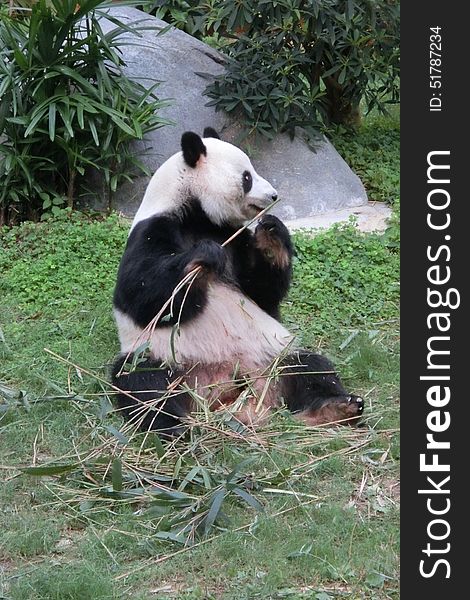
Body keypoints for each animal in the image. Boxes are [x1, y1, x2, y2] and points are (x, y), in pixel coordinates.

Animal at [111, 127, 364, 436]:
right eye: (247, 177)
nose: (273, 195)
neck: (197, 214)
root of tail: (226, 393)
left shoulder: (232, 235)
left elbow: (262, 293)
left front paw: (272, 232)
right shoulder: (152, 230)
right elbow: (142, 294)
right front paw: (203, 259)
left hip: (272, 355)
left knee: (310, 367)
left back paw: (335, 409)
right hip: (164, 357)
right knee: (142, 382)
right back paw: (177, 429)